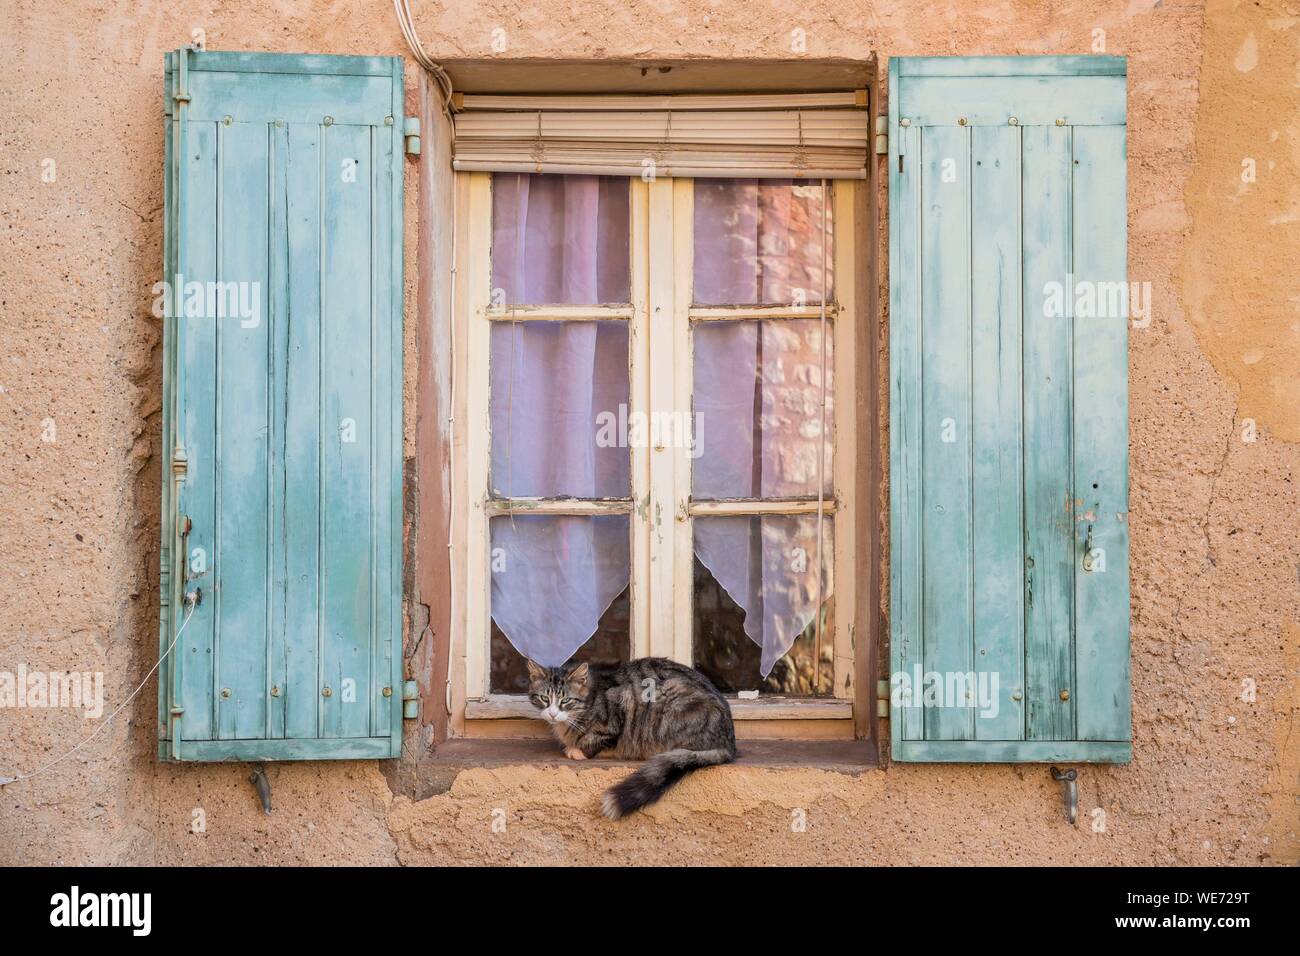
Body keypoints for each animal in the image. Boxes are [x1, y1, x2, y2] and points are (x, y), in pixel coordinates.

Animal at [525, 658, 733, 822]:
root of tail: (728, 742)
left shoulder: (619, 705)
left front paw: (578, 750)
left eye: (566, 701)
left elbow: (599, 739)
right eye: (544, 698)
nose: (552, 714)